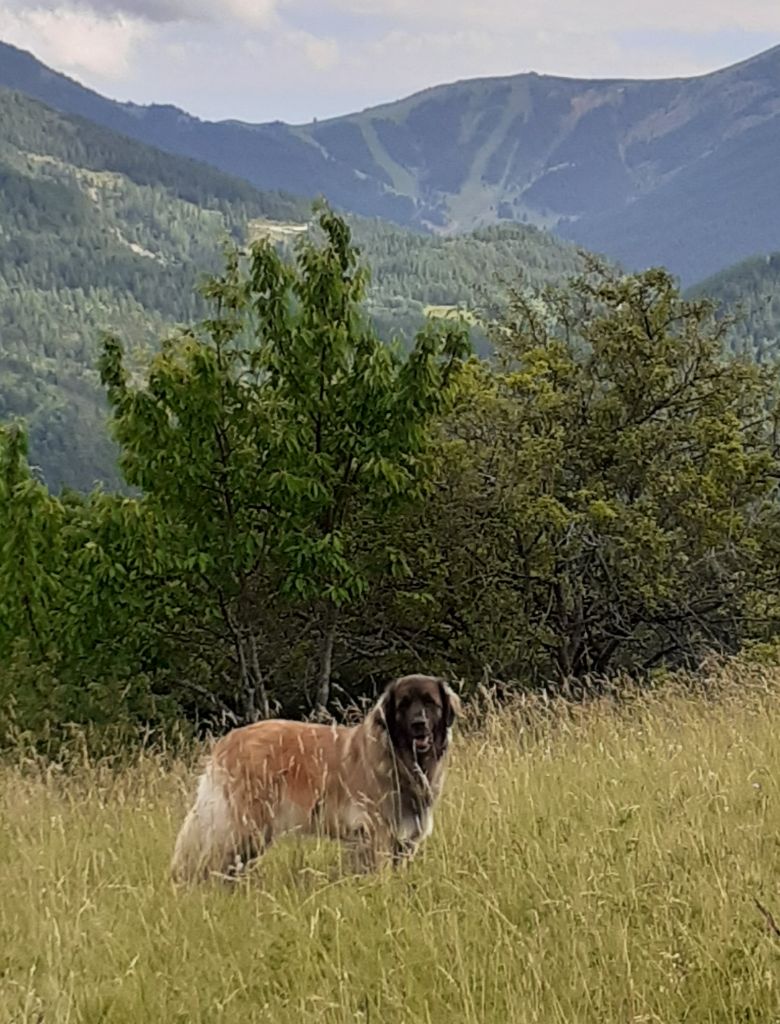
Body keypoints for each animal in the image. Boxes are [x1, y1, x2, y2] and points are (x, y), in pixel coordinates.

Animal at [169, 671, 458, 880]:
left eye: (430, 703)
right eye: (403, 705)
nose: (419, 725)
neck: (401, 759)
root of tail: (228, 740)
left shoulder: (403, 841)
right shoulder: (377, 835)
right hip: (245, 827)